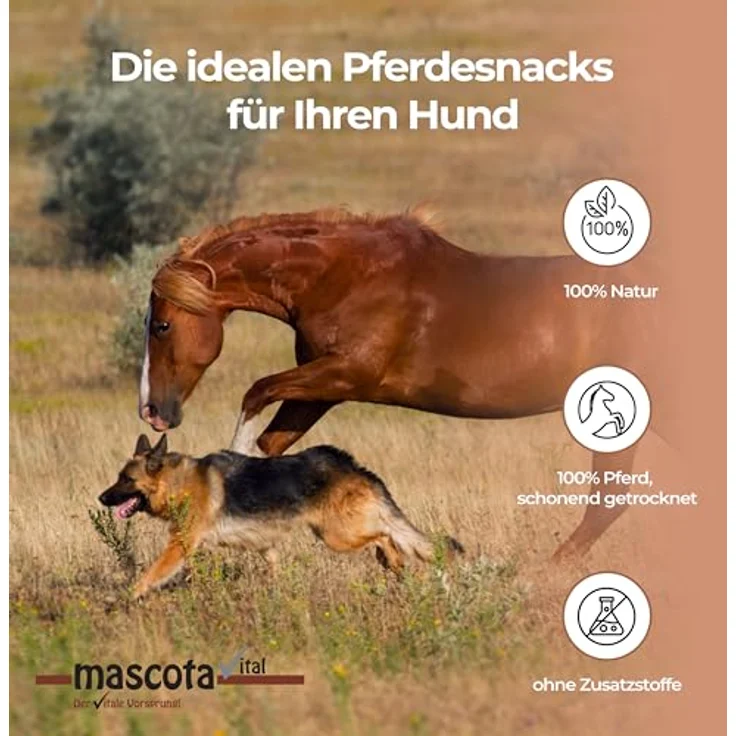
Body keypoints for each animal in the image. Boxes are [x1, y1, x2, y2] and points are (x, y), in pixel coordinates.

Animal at [139, 208, 653, 559]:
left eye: (161, 326)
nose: (152, 410)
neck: (342, 277)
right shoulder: (322, 390)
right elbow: (271, 440)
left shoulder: (346, 374)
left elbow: (256, 393)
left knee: (607, 502)